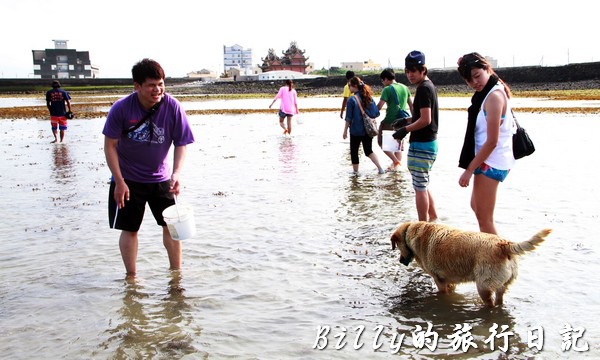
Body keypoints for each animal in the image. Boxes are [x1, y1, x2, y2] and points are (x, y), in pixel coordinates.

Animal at [390, 222, 552, 306]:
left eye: (396, 246)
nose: (400, 261)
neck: (411, 233)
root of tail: (503, 245)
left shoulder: (439, 280)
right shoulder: (450, 281)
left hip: (483, 286)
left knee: (490, 305)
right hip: (501, 286)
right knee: (499, 302)